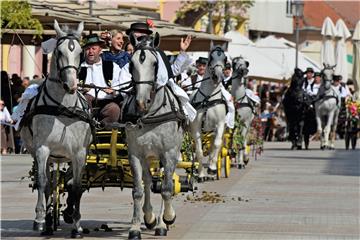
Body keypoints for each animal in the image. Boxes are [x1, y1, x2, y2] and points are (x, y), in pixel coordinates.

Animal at [19, 21, 93, 238]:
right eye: (59, 52)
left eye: (80, 53)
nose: (71, 85)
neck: (63, 108)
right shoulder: (42, 149)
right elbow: (43, 183)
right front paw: (40, 219)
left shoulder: (80, 153)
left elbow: (76, 187)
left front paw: (77, 225)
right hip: (46, 155)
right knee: (50, 184)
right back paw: (48, 221)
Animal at [124, 32, 184, 239]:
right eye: (131, 64)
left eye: (155, 64)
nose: (142, 102)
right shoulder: (135, 154)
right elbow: (138, 190)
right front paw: (135, 227)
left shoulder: (169, 153)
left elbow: (166, 189)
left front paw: (165, 220)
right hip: (147, 156)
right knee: (149, 180)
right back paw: (149, 217)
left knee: (166, 180)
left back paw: (160, 220)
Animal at [190, 44, 226, 178]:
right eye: (211, 57)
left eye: (225, 59)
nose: (217, 76)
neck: (208, 99)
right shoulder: (196, 127)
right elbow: (199, 150)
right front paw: (201, 173)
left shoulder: (220, 124)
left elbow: (216, 144)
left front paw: (212, 168)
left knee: (214, 145)